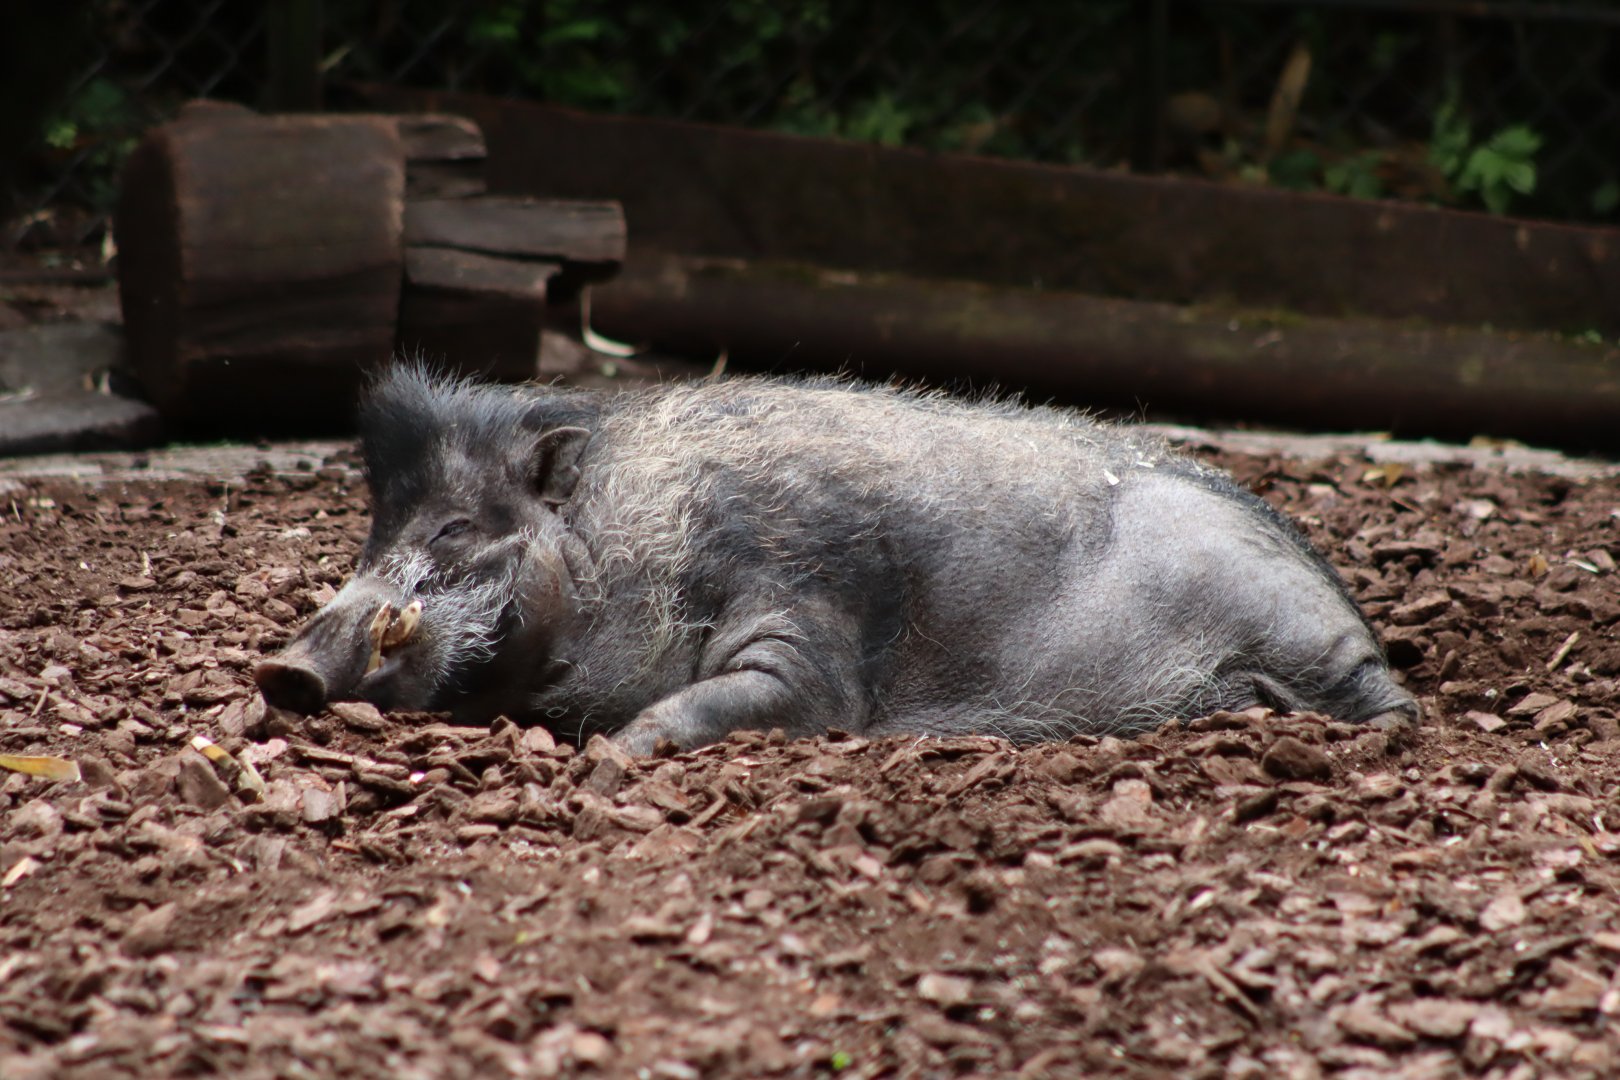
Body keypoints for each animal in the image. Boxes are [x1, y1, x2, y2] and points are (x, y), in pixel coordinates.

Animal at [254, 366, 1417, 753]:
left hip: (1315, 645)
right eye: (375, 534)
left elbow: (784, 696)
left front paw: (615, 756)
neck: (642, 541)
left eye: (455, 531)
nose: (285, 669)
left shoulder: (806, 617)